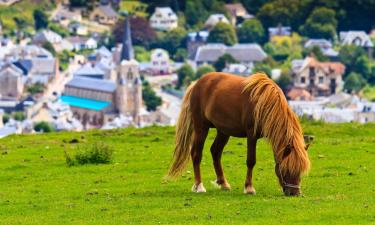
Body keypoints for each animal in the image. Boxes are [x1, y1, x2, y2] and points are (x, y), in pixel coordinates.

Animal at [167, 72, 312, 195]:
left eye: (300, 170)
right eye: (286, 169)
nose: (295, 193)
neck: (264, 102)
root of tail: (197, 83)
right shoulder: (251, 135)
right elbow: (251, 161)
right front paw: (249, 188)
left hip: (223, 131)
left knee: (215, 152)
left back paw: (223, 184)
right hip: (201, 127)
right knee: (196, 154)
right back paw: (199, 186)